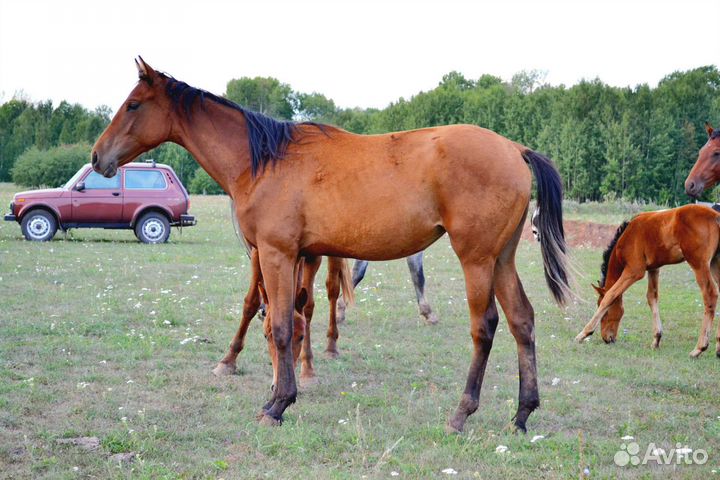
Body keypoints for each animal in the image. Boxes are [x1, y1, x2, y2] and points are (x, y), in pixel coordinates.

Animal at [91, 57, 570, 432]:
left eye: (133, 105)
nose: (98, 157)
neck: (265, 161)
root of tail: (514, 148)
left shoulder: (277, 254)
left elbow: (281, 326)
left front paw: (278, 404)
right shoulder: (292, 256)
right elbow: (284, 321)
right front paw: (278, 391)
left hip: (476, 259)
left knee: (485, 327)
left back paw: (461, 413)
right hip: (502, 260)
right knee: (522, 321)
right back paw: (522, 414)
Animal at [574, 204, 720, 358]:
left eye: (605, 312)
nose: (607, 339)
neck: (628, 234)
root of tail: (715, 216)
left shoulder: (634, 271)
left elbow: (610, 295)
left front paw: (583, 333)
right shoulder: (654, 268)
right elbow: (652, 297)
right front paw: (656, 339)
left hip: (699, 263)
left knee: (710, 295)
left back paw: (699, 348)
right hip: (715, 262)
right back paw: (717, 347)